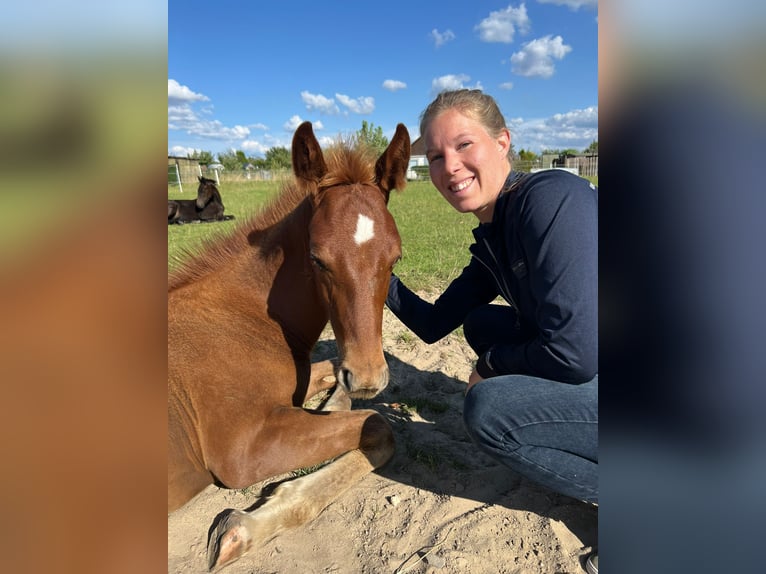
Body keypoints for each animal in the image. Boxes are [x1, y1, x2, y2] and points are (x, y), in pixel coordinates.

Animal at [166, 121, 412, 572]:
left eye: (396, 259)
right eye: (317, 259)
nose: (368, 377)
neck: (245, 315)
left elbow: (333, 375)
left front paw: (333, 402)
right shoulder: (242, 453)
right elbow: (378, 426)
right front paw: (243, 529)